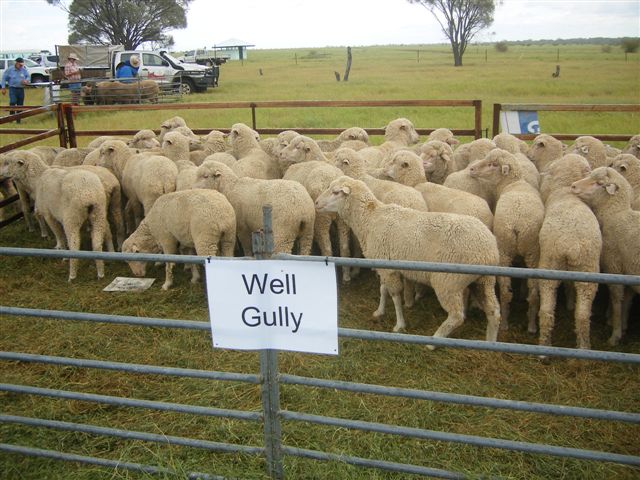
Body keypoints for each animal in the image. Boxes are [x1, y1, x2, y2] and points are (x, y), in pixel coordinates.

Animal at [314, 174, 500, 344]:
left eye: (335, 192)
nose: (316, 203)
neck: (370, 218)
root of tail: (489, 249)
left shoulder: (387, 267)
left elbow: (395, 295)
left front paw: (399, 325)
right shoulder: (383, 265)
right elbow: (383, 289)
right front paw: (379, 312)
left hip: (448, 282)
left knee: (456, 316)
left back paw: (435, 340)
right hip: (484, 280)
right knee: (494, 311)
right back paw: (490, 342)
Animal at [468, 148, 544, 332]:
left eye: (492, 164)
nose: (472, 169)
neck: (513, 184)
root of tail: (518, 224)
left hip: (507, 250)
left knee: (508, 292)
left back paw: (507, 324)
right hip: (531, 251)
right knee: (530, 292)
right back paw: (529, 325)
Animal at [536, 154, 604, 348]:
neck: (566, 191)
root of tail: (570, 243)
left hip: (560, 267)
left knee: (568, 314)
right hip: (584, 271)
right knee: (572, 314)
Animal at [568, 167, 640, 346]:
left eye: (599, 183)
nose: (573, 186)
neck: (616, 214)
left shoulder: (615, 268)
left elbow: (617, 301)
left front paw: (615, 334)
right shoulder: (628, 270)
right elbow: (627, 301)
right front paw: (623, 326)